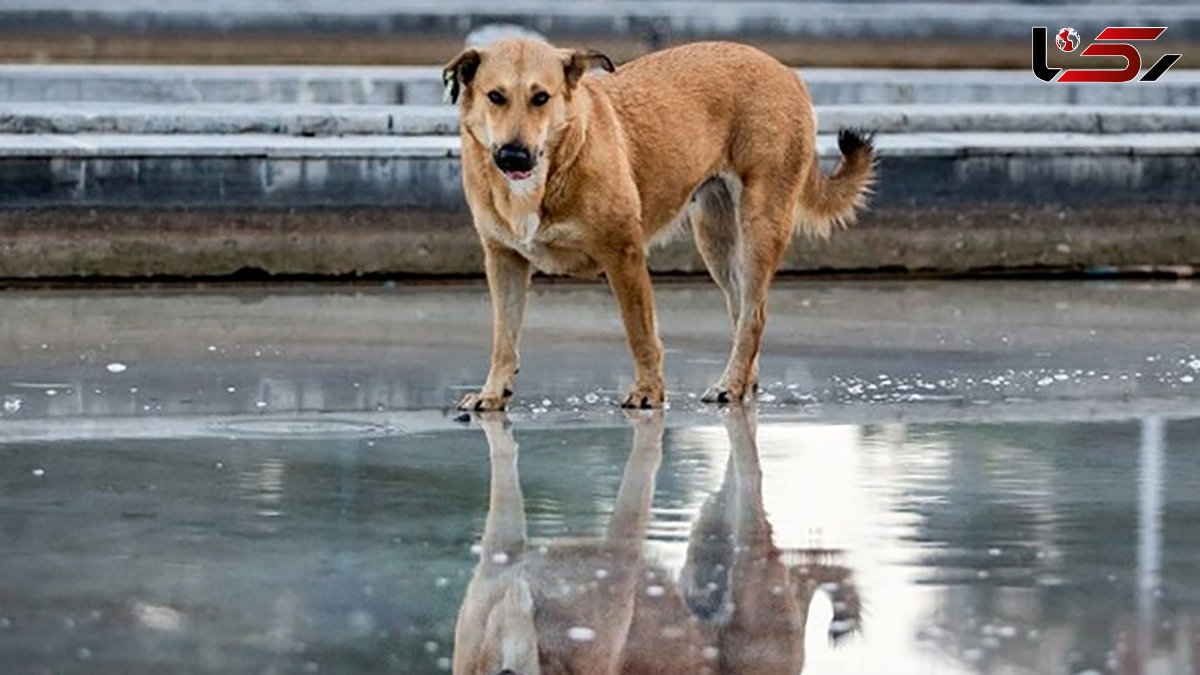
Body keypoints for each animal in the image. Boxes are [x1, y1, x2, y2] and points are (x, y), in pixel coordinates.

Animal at [446, 42, 878, 410]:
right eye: (495, 96)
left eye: (541, 97)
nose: (513, 156)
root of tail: (786, 70)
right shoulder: (503, 260)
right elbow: (504, 338)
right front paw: (492, 393)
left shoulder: (624, 255)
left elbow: (640, 332)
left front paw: (648, 392)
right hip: (716, 239)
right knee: (741, 312)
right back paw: (742, 383)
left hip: (760, 224)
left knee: (754, 315)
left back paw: (730, 384)